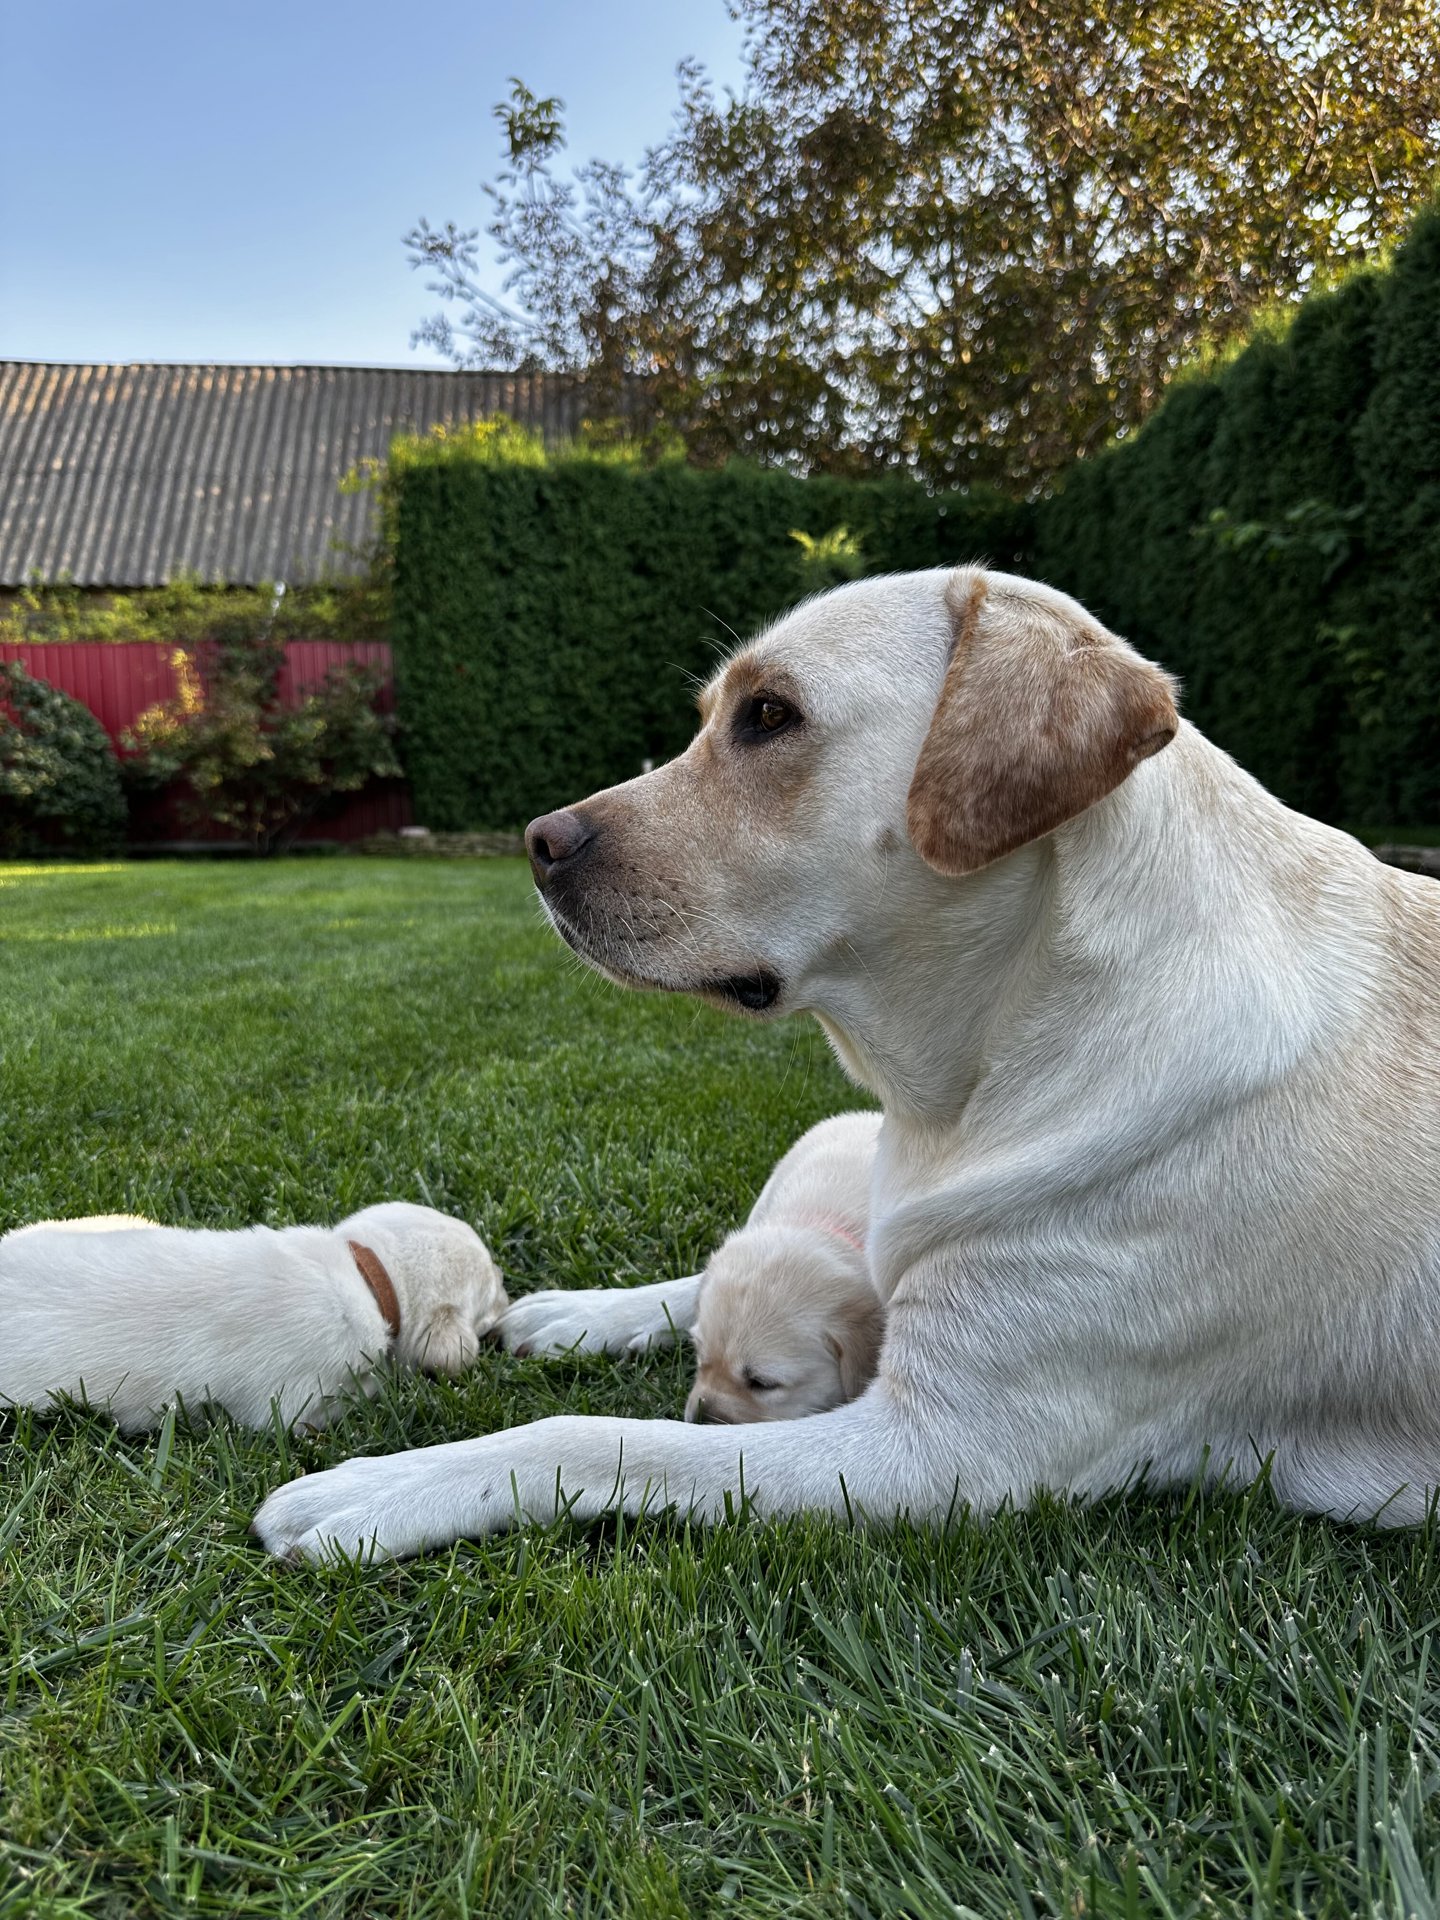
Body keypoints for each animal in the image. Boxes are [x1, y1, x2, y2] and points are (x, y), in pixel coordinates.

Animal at [253, 564, 1440, 1559]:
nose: (538, 845)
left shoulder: (944, 1453)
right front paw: (589, 1310)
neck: (984, 1065)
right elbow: (725, 1266)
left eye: (771, 716)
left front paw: (385, 1486)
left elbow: (593, 1435)